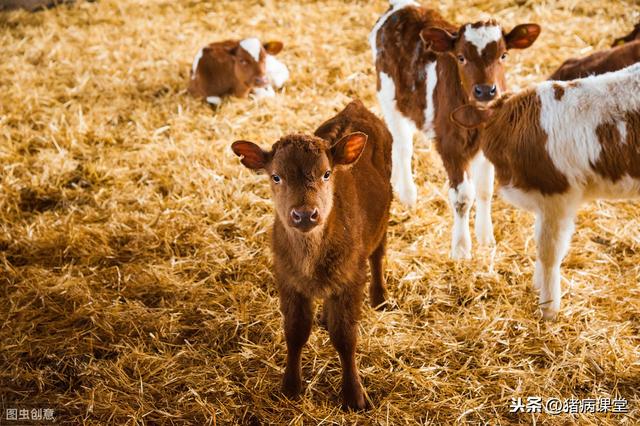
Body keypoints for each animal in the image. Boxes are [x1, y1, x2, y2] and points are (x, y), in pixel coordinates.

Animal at [230, 100, 390, 410]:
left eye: (326, 173)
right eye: (276, 176)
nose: (304, 214)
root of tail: (356, 107)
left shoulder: (350, 280)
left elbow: (345, 338)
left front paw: (354, 395)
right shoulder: (287, 280)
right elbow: (295, 332)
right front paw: (291, 387)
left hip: (386, 212)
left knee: (378, 253)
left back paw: (381, 298)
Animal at [370, 0, 540, 260]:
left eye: (503, 55)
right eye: (460, 57)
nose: (485, 90)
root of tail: (402, 6)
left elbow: (484, 190)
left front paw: (485, 238)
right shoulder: (451, 148)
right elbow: (462, 197)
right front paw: (461, 248)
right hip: (388, 96)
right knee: (402, 145)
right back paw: (408, 194)